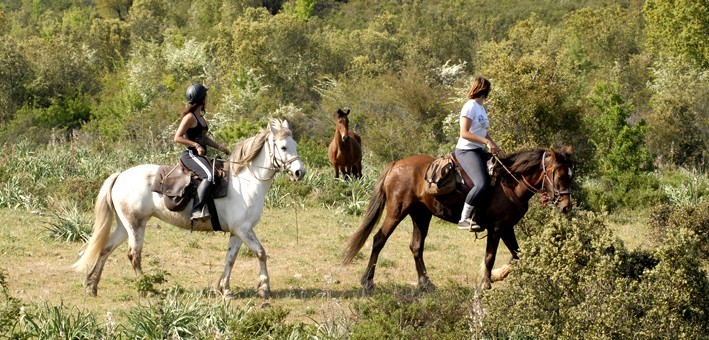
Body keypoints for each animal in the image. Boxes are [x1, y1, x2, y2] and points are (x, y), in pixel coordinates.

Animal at [72, 119, 304, 298]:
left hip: (124, 226)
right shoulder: (243, 230)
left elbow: (230, 259)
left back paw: (92, 286)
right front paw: (264, 288)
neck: (246, 182)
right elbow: (261, 253)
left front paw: (225, 289)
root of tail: (120, 175)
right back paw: (146, 289)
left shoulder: (238, 232)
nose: (299, 172)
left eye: (295, 145)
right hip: (136, 226)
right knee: (134, 255)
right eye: (283, 147)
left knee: (105, 249)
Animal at [342, 145, 576, 290]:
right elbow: (490, 257)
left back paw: (425, 283)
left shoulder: (507, 228)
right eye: (559, 176)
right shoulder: (497, 228)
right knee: (379, 239)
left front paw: (498, 275)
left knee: (416, 246)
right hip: (397, 211)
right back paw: (367, 281)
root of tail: (396, 165)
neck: (510, 183)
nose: (566, 207)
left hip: (421, 215)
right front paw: (486, 282)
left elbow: (519, 255)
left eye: (571, 176)